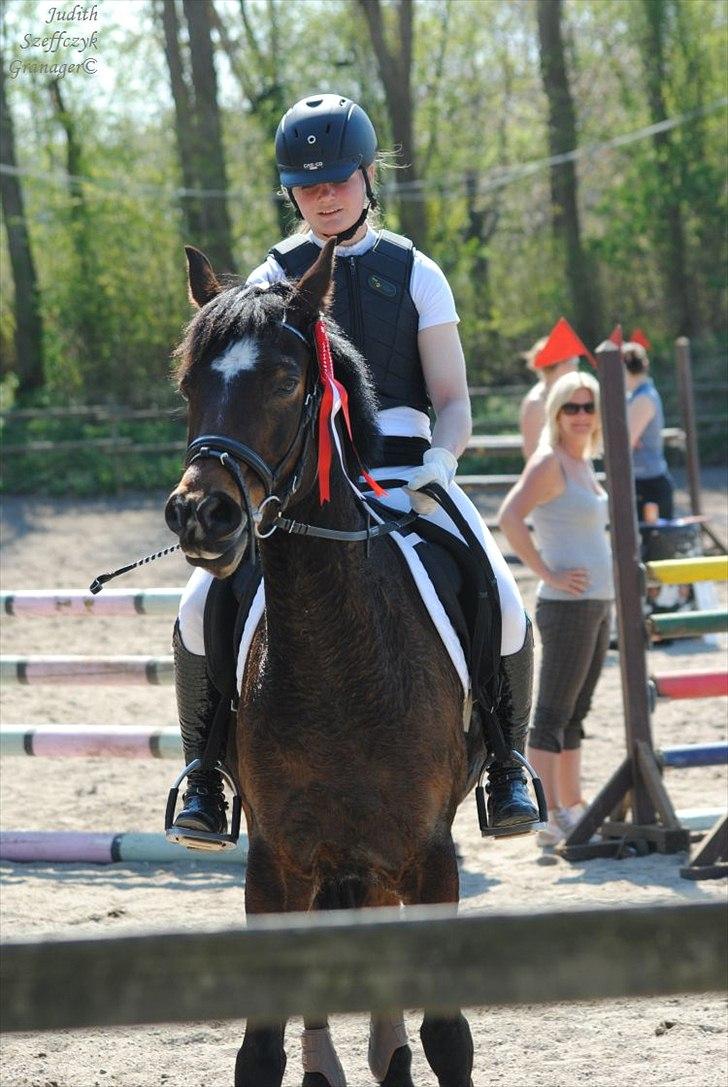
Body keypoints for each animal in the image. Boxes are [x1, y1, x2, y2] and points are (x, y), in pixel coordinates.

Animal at [168, 240, 482, 1087]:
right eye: (189, 385)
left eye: (284, 380)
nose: (201, 514)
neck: (339, 664)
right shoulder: (276, 860)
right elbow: (259, 1050)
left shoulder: (429, 854)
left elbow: (449, 1038)